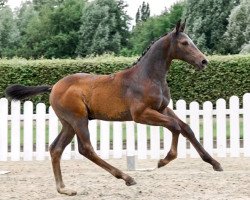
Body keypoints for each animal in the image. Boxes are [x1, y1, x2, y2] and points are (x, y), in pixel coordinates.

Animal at [5, 20, 223, 195]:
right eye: (184, 43)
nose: (204, 61)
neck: (147, 76)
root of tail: (54, 86)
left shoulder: (161, 109)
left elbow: (186, 128)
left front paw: (215, 163)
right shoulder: (141, 114)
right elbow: (175, 127)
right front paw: (163, 160)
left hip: (68, 123)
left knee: (56, 148)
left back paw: (64, 189)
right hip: (78, 119)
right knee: (86, 149)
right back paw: (127, 177)